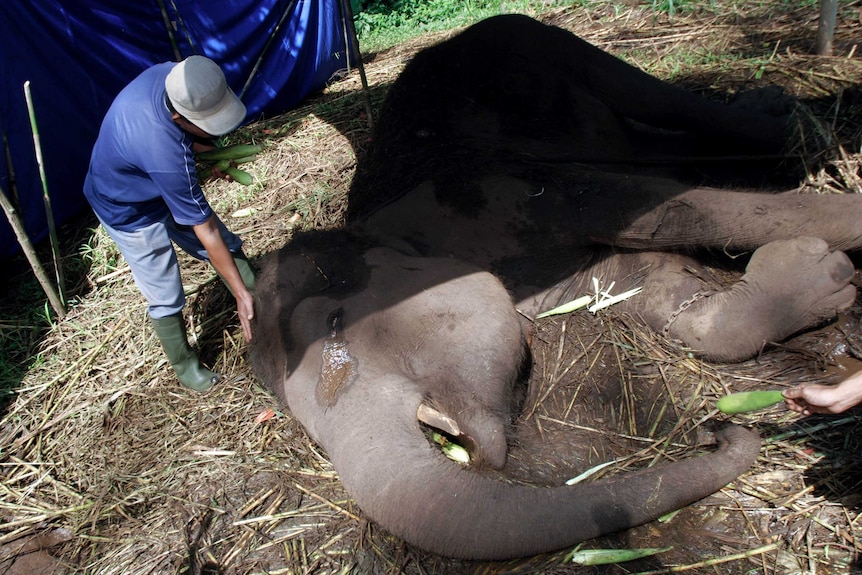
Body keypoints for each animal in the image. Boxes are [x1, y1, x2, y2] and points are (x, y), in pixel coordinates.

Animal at [250, 13, 862, 564]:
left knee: (655, 99)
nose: (718, 433)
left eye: (335, 322)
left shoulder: (505, 190)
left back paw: (790, 124)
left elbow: (672, 213)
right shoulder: (543, 278)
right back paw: (769, 109)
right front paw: (819, 275)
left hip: (540, 39)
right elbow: (642, 284)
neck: (380, 223)